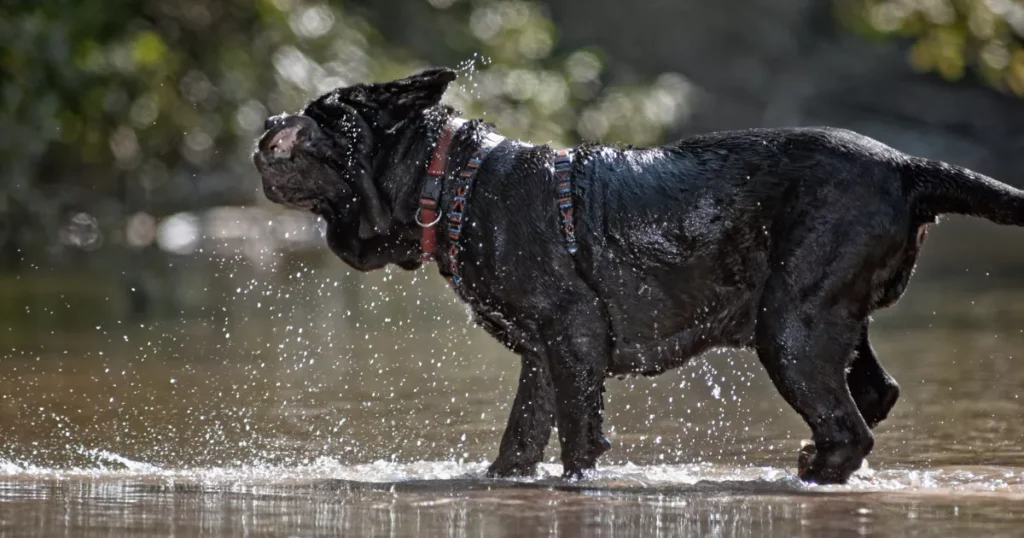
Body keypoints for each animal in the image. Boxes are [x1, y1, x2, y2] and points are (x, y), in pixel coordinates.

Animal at [251, 66, 1024, 481]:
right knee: (875, 394)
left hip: (790, 327)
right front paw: (504, 480)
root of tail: (906, 166)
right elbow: (520, 436)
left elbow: (577, 437)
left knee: (850, 425)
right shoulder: (544, 353)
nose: (267, 119)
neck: (454, 182)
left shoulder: (572, 336)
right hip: (824, 318)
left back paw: (813, 469)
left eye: (321, 116)